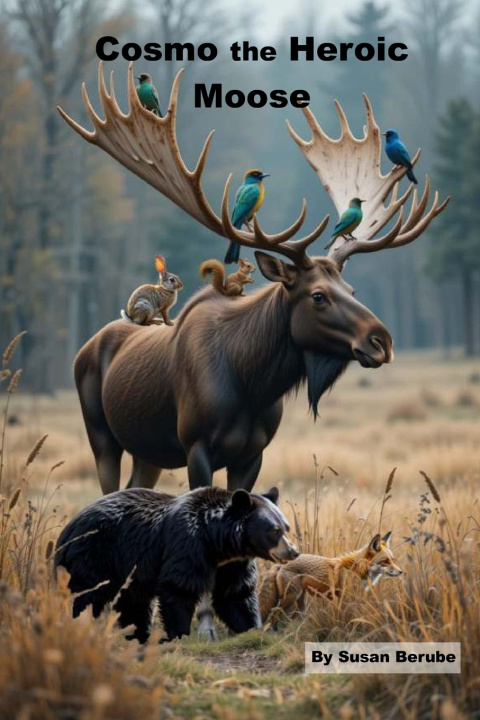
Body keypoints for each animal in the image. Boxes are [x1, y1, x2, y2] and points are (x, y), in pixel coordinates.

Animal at [57, 64, 448, 640]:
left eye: (352, 289)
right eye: (317, 295)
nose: (382, 340)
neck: (249, 381)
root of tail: (88, 345)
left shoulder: (254, 452)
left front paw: (244, 617)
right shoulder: (195, 445)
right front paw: (202, 625)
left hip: (148, 449)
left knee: (134, 489)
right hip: (100, 432)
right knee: (103, 489)